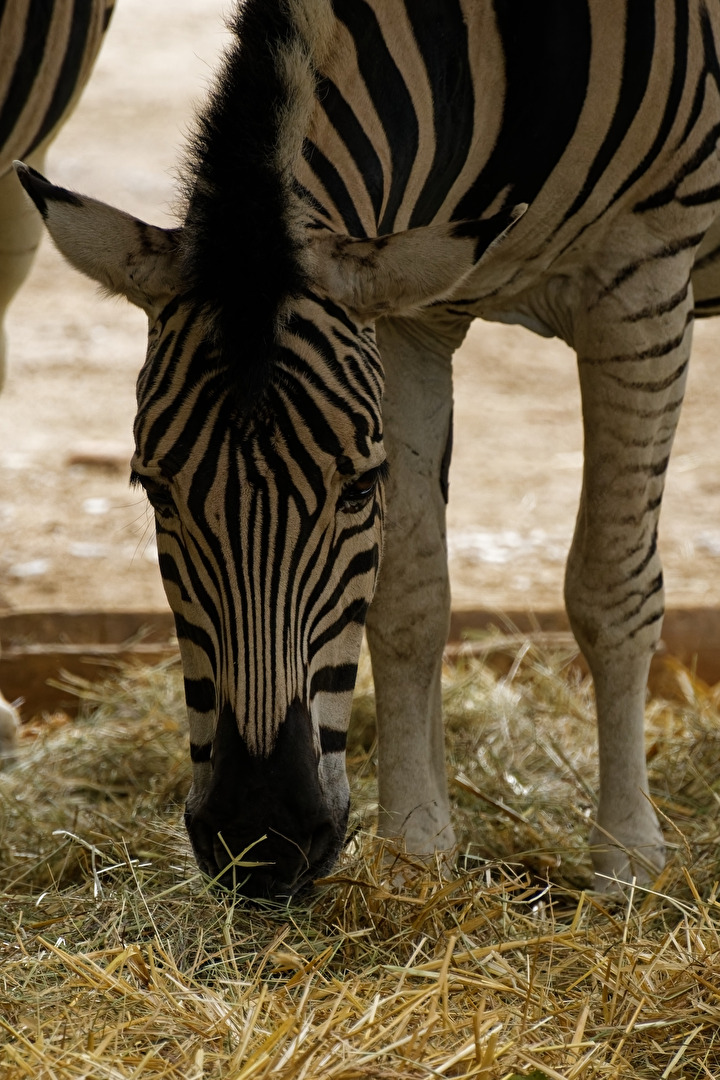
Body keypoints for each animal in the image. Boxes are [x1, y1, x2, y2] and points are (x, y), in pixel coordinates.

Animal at [15, 0, 720, 895]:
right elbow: (411, 593)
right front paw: (417, 852)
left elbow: (610, 588)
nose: (261, 841)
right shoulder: (414, 317)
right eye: (155, 491)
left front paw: (626, 862)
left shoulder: (641, 281)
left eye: (355, 489)